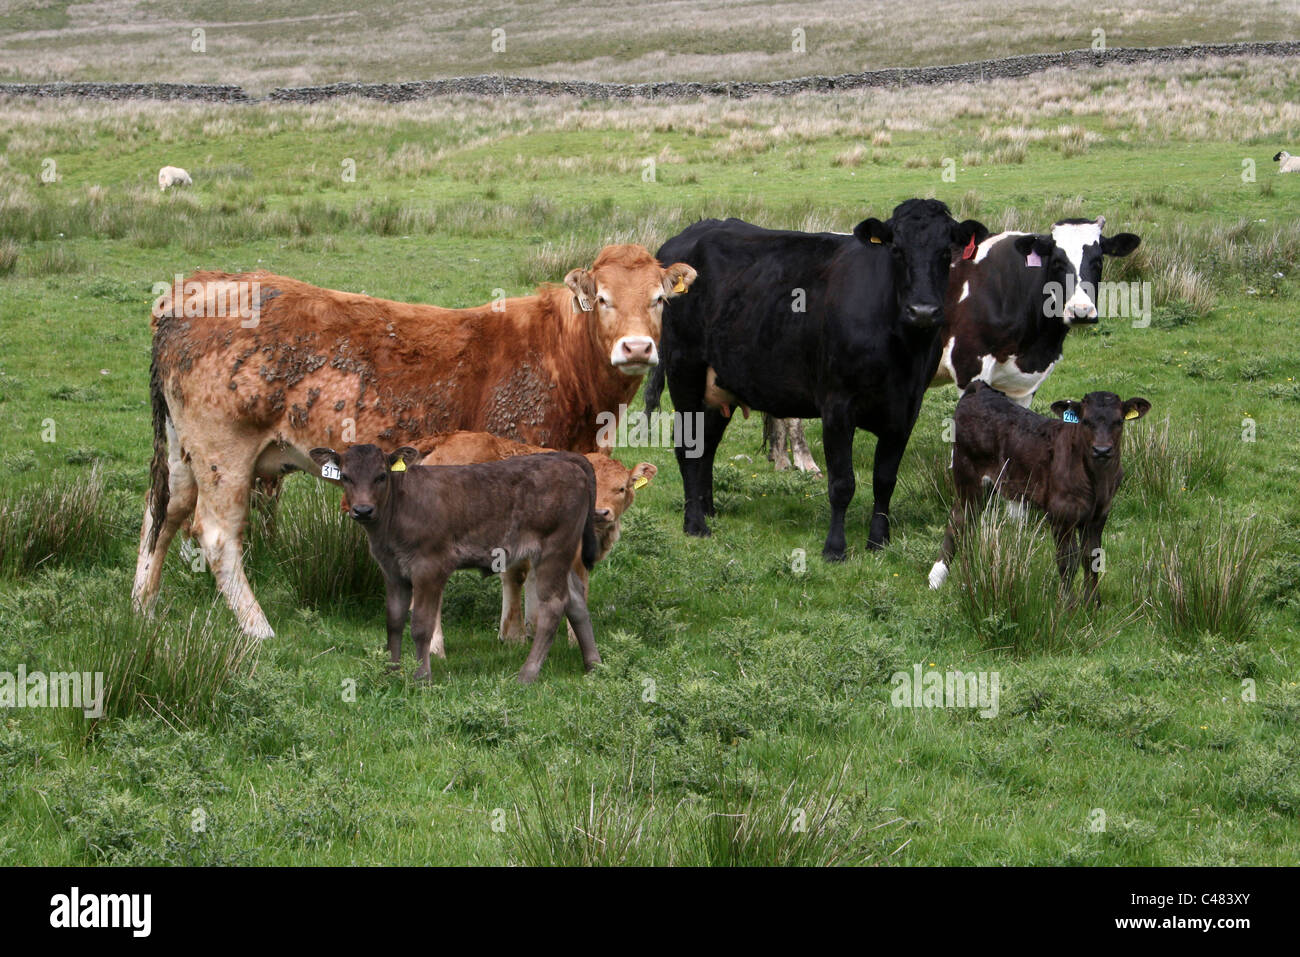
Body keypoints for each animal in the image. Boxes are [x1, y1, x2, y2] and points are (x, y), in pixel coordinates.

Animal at [312, 444, 600, 686]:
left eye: (381, 476)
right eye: (345, 476)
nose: (362, 510)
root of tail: (564, 457)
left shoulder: (429, 567)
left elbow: (421, 625)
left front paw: (421, 677)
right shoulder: (392, 571)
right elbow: (393, 621)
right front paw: (391, 674)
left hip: (554, 548)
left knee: (554, 605)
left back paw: (527, 674)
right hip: (562, 553)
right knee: (576, 600)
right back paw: (594, 665)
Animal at [639, 201, 982, 561]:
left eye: (946, 252)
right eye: (897, 250)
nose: (923, 311)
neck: (901, 350)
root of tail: (684, 237)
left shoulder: (905, 410)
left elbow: (885, 479)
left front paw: (878, 541)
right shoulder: (837, 404)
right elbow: (842, 483)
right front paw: (835, 548)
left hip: (721, 384)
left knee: (707, 446)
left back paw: (709, 511)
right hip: (685, 372)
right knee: (687, 448)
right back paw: (695, 523)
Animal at [925, 384, 1149, 600]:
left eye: (1118, 421)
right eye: (1085, 421)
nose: (1102, 450)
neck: (1097, 480)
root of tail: (980, 388)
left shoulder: (1099, 516)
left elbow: (1092, 558)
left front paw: (1093, 603)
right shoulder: (1061, 514)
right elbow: (1067, 560)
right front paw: (1068, 605)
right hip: (968, 476)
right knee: (959, 520)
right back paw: (939, 578)